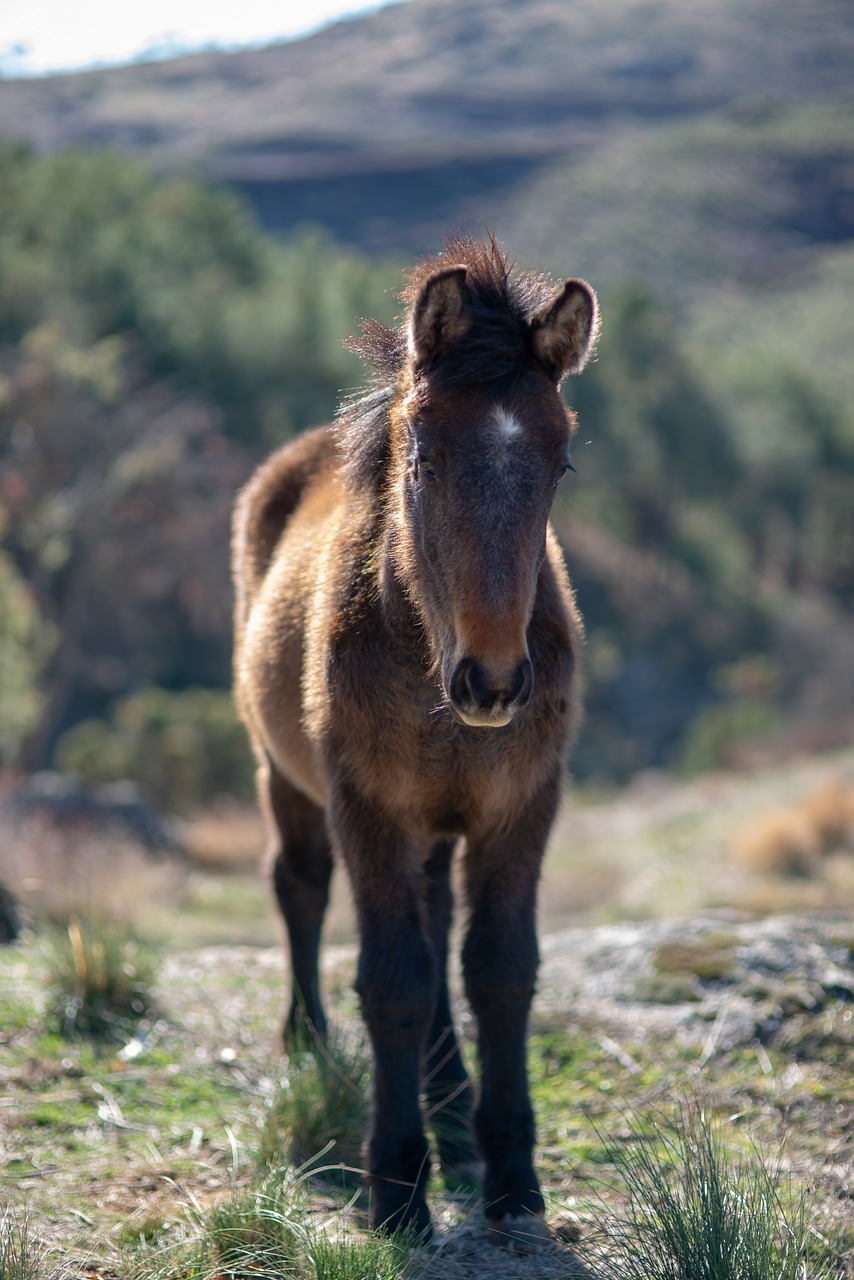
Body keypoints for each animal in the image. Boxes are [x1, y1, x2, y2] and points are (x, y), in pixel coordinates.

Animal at [230, 235, 599, 1244]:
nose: (495, 681)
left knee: (436, 921)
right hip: (285, 778)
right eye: (424, 457)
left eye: (560, 461)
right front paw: (395, 1186)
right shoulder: (368, 808)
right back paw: (310, 1045)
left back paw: (452, 1108)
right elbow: (393, 978)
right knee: (299, 887)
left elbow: (498, 972)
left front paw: (511, 1174)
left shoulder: (520, 807)